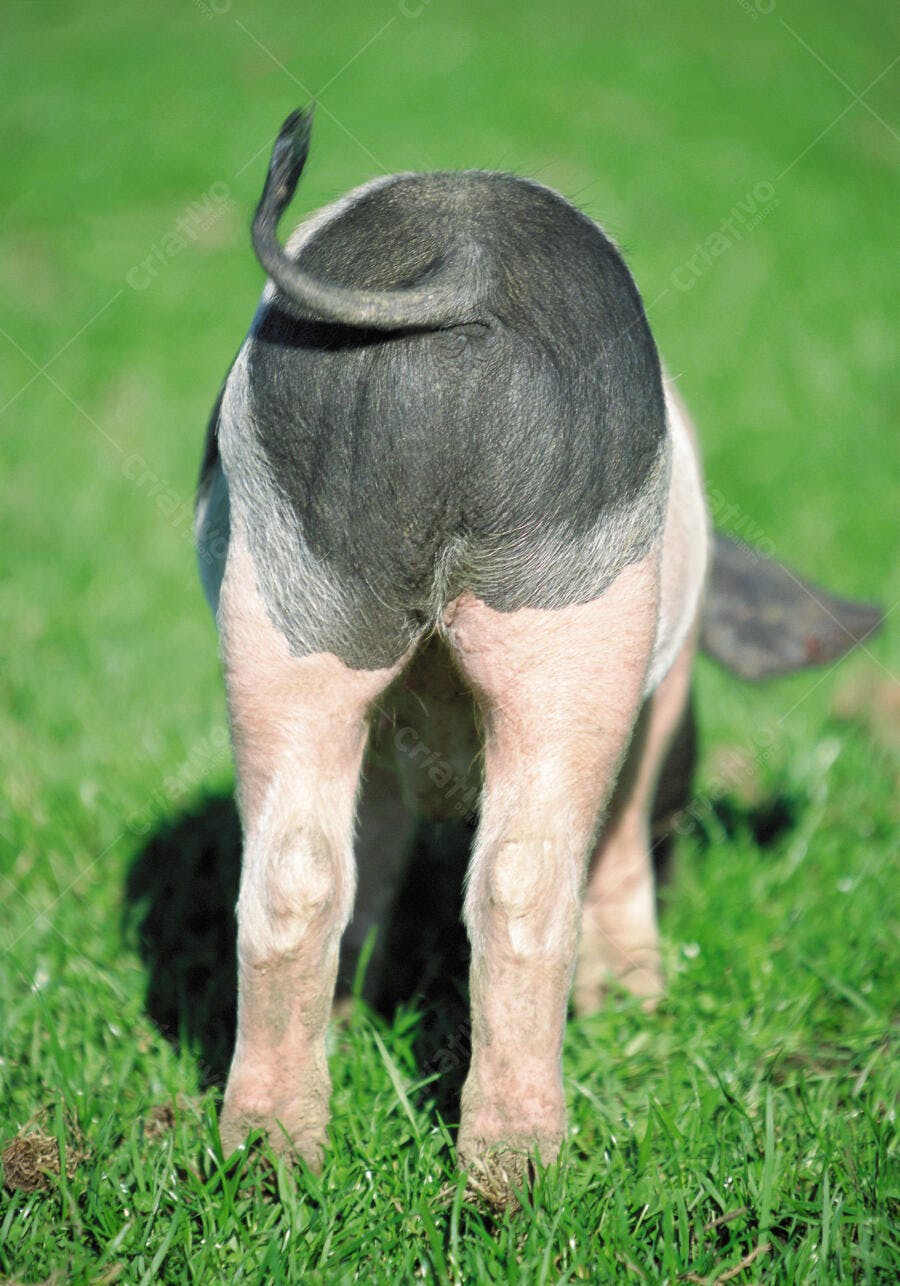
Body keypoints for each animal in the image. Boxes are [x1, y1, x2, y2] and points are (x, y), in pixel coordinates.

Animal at [194, 107, 880, 1192]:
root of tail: (467, 263)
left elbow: (371, 850)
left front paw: (358, 1011)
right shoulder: (661, 691)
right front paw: (637, 999)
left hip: (294, 592)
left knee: (301, 871)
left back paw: (278, 1163)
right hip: (582, 604)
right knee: (530, 871)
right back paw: (525, 1177)